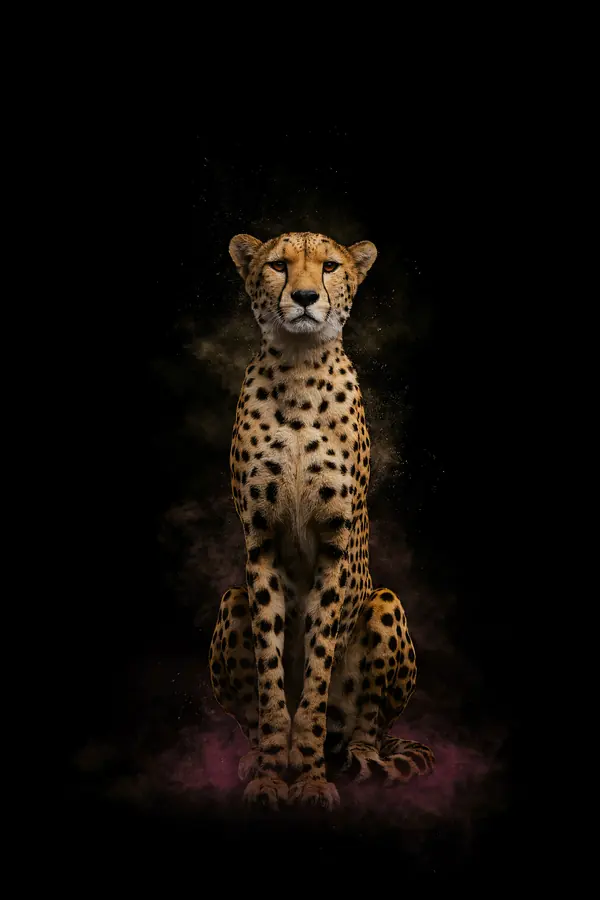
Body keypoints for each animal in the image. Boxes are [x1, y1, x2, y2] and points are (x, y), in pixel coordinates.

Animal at [208, 231, 434, 810]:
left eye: (330, 266)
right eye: (277, 266)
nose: (306, 297)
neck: (300, 368)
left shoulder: (336, 544)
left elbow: (314, 675)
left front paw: (309, 778)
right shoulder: (259, 541)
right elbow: (271, 678)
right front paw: (273, 774)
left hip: (384, 601)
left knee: (366, 727)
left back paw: (355, 755)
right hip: (232, 599)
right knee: (246, 713)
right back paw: (254, 757)